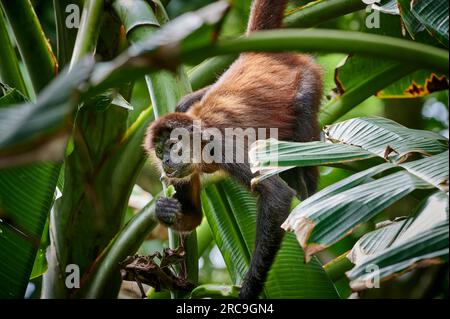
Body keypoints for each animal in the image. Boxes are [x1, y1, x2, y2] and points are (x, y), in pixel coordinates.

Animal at [143, 0, 320, 300]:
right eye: (158, 151)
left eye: (172, 146)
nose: (165, 160)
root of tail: (255, 55)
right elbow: (194, 216)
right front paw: (164, 210)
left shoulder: (224, 146)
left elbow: (278, 196)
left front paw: (249, 289)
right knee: (184, 103)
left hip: (308, 80)